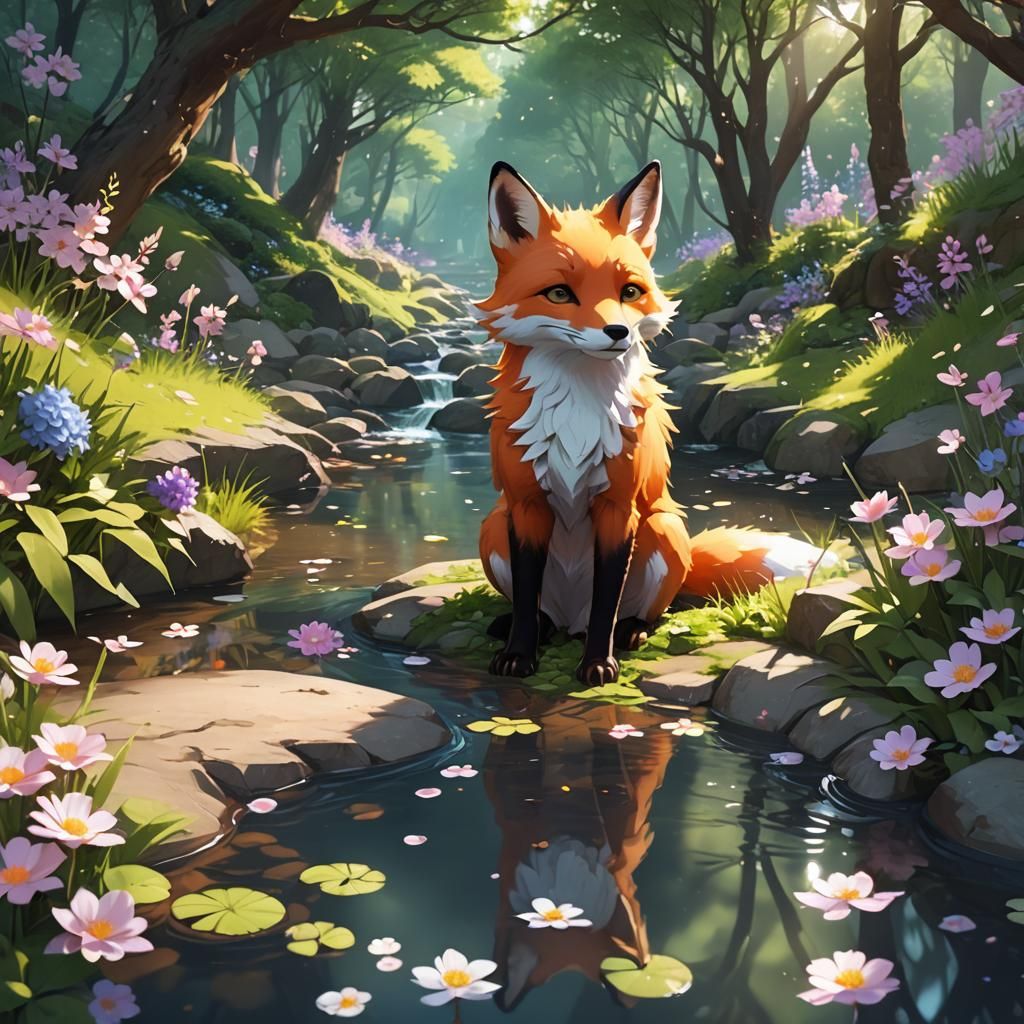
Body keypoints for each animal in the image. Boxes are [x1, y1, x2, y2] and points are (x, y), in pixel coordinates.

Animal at [475, 160, 778, 685]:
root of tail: (569, 619)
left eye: (629, 292)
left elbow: (607, 602)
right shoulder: (527, 505)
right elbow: (528, 597)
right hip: (494, 524)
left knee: (647, 611)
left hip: (665, 530)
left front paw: (599, 663)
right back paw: (528, 626)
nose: (616, 332)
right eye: (560, 293)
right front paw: (518, 656)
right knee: (539, 611)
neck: (578, 414)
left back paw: (633, 631)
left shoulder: (620, 509)